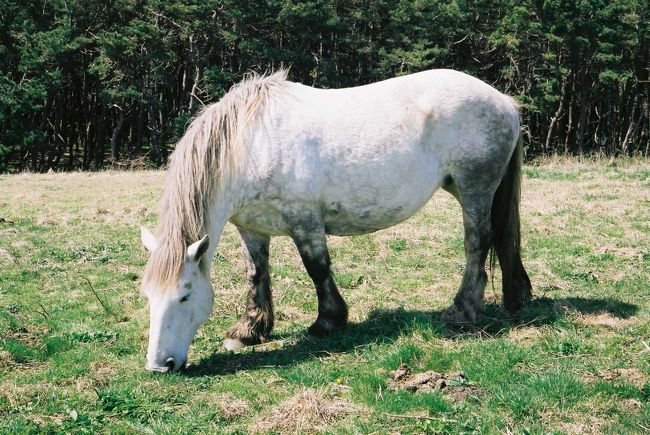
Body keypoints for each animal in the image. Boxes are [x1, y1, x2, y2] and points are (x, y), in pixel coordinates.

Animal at [139, 69, 528, 374]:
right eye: (148, 296)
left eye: (185, 296)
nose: (160, 366)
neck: (250, 144)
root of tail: (503, 101)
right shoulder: (251, 227)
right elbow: (256, 273)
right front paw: (250, 331)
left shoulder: (305, 221)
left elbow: (317, 268)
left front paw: (327, 321)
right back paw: (516, 295)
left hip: (474, 188)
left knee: (477, 243)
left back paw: (461, 312)